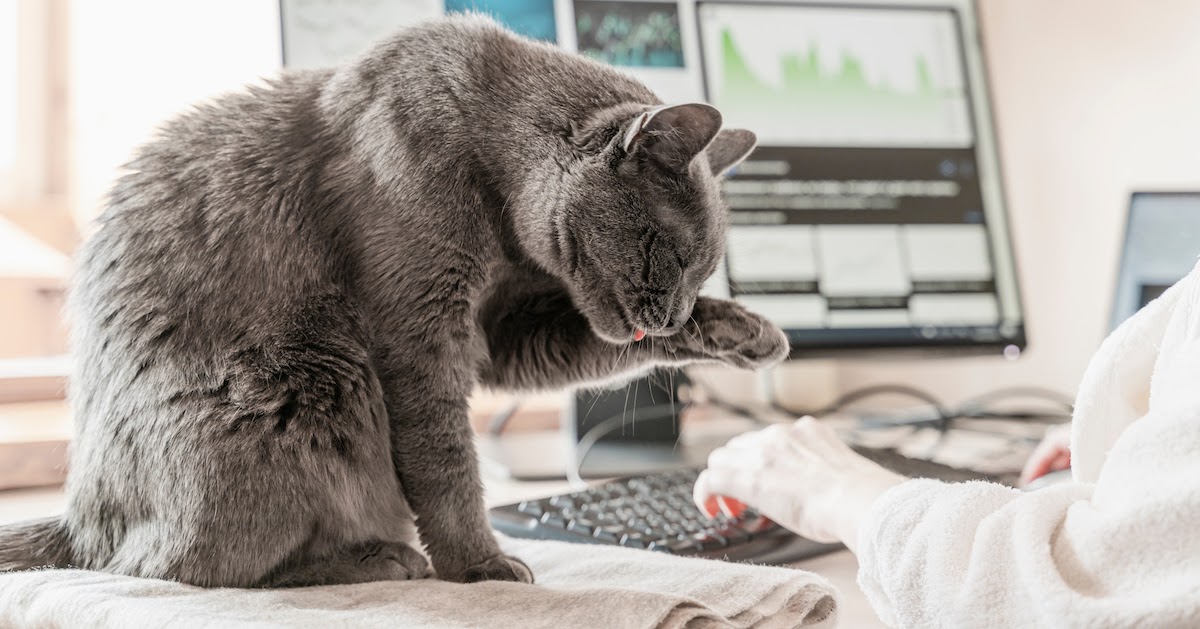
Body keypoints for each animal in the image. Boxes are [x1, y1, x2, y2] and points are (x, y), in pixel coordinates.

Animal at [0, 13, 787, 585]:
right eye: (669, 255)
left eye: (702, 270)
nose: (675, 311)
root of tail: (80, 517)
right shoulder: (420, 335)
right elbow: (446, 462)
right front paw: (479, 565)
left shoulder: (500, 333)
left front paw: (749, 333)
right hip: (315, 378)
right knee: (175, 568)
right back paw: (376, 557)